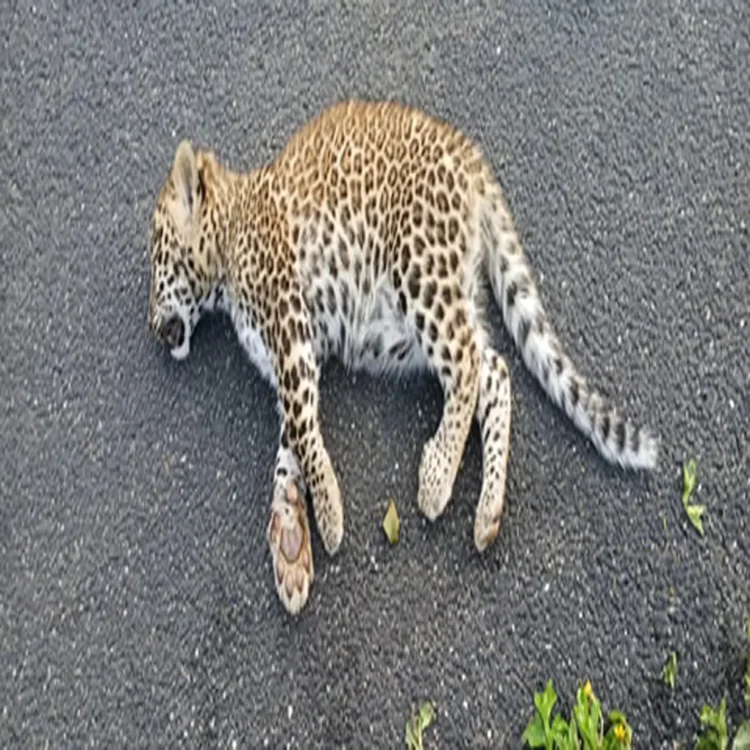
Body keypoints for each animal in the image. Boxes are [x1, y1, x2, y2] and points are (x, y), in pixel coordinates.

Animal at [146, 99, 659, 616]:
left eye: (157, 259)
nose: (152, 326)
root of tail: (466, 151)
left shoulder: (290, 327)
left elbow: (305, 436)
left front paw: (328, 516)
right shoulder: (293, 357)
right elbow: (291, 441)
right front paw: (291, 542)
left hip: (419, 266)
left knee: (468, 363)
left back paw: (436, 480)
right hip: (444, 296)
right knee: (493, 367)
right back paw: (488, 511)